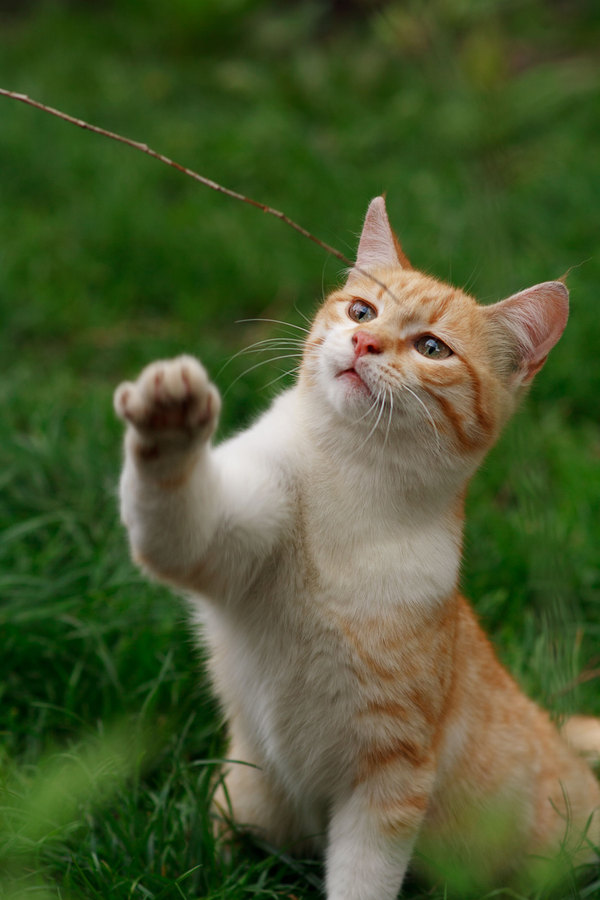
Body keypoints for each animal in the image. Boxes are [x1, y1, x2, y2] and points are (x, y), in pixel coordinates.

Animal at [115, 199, 596, 900]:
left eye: (431, 347)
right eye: (362, 311)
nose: (364, 343)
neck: (350, 482)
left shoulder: (390, 779)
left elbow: (362, 881)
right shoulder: (213, 540)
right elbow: (174, 515)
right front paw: (170, 417)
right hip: (245, 796)